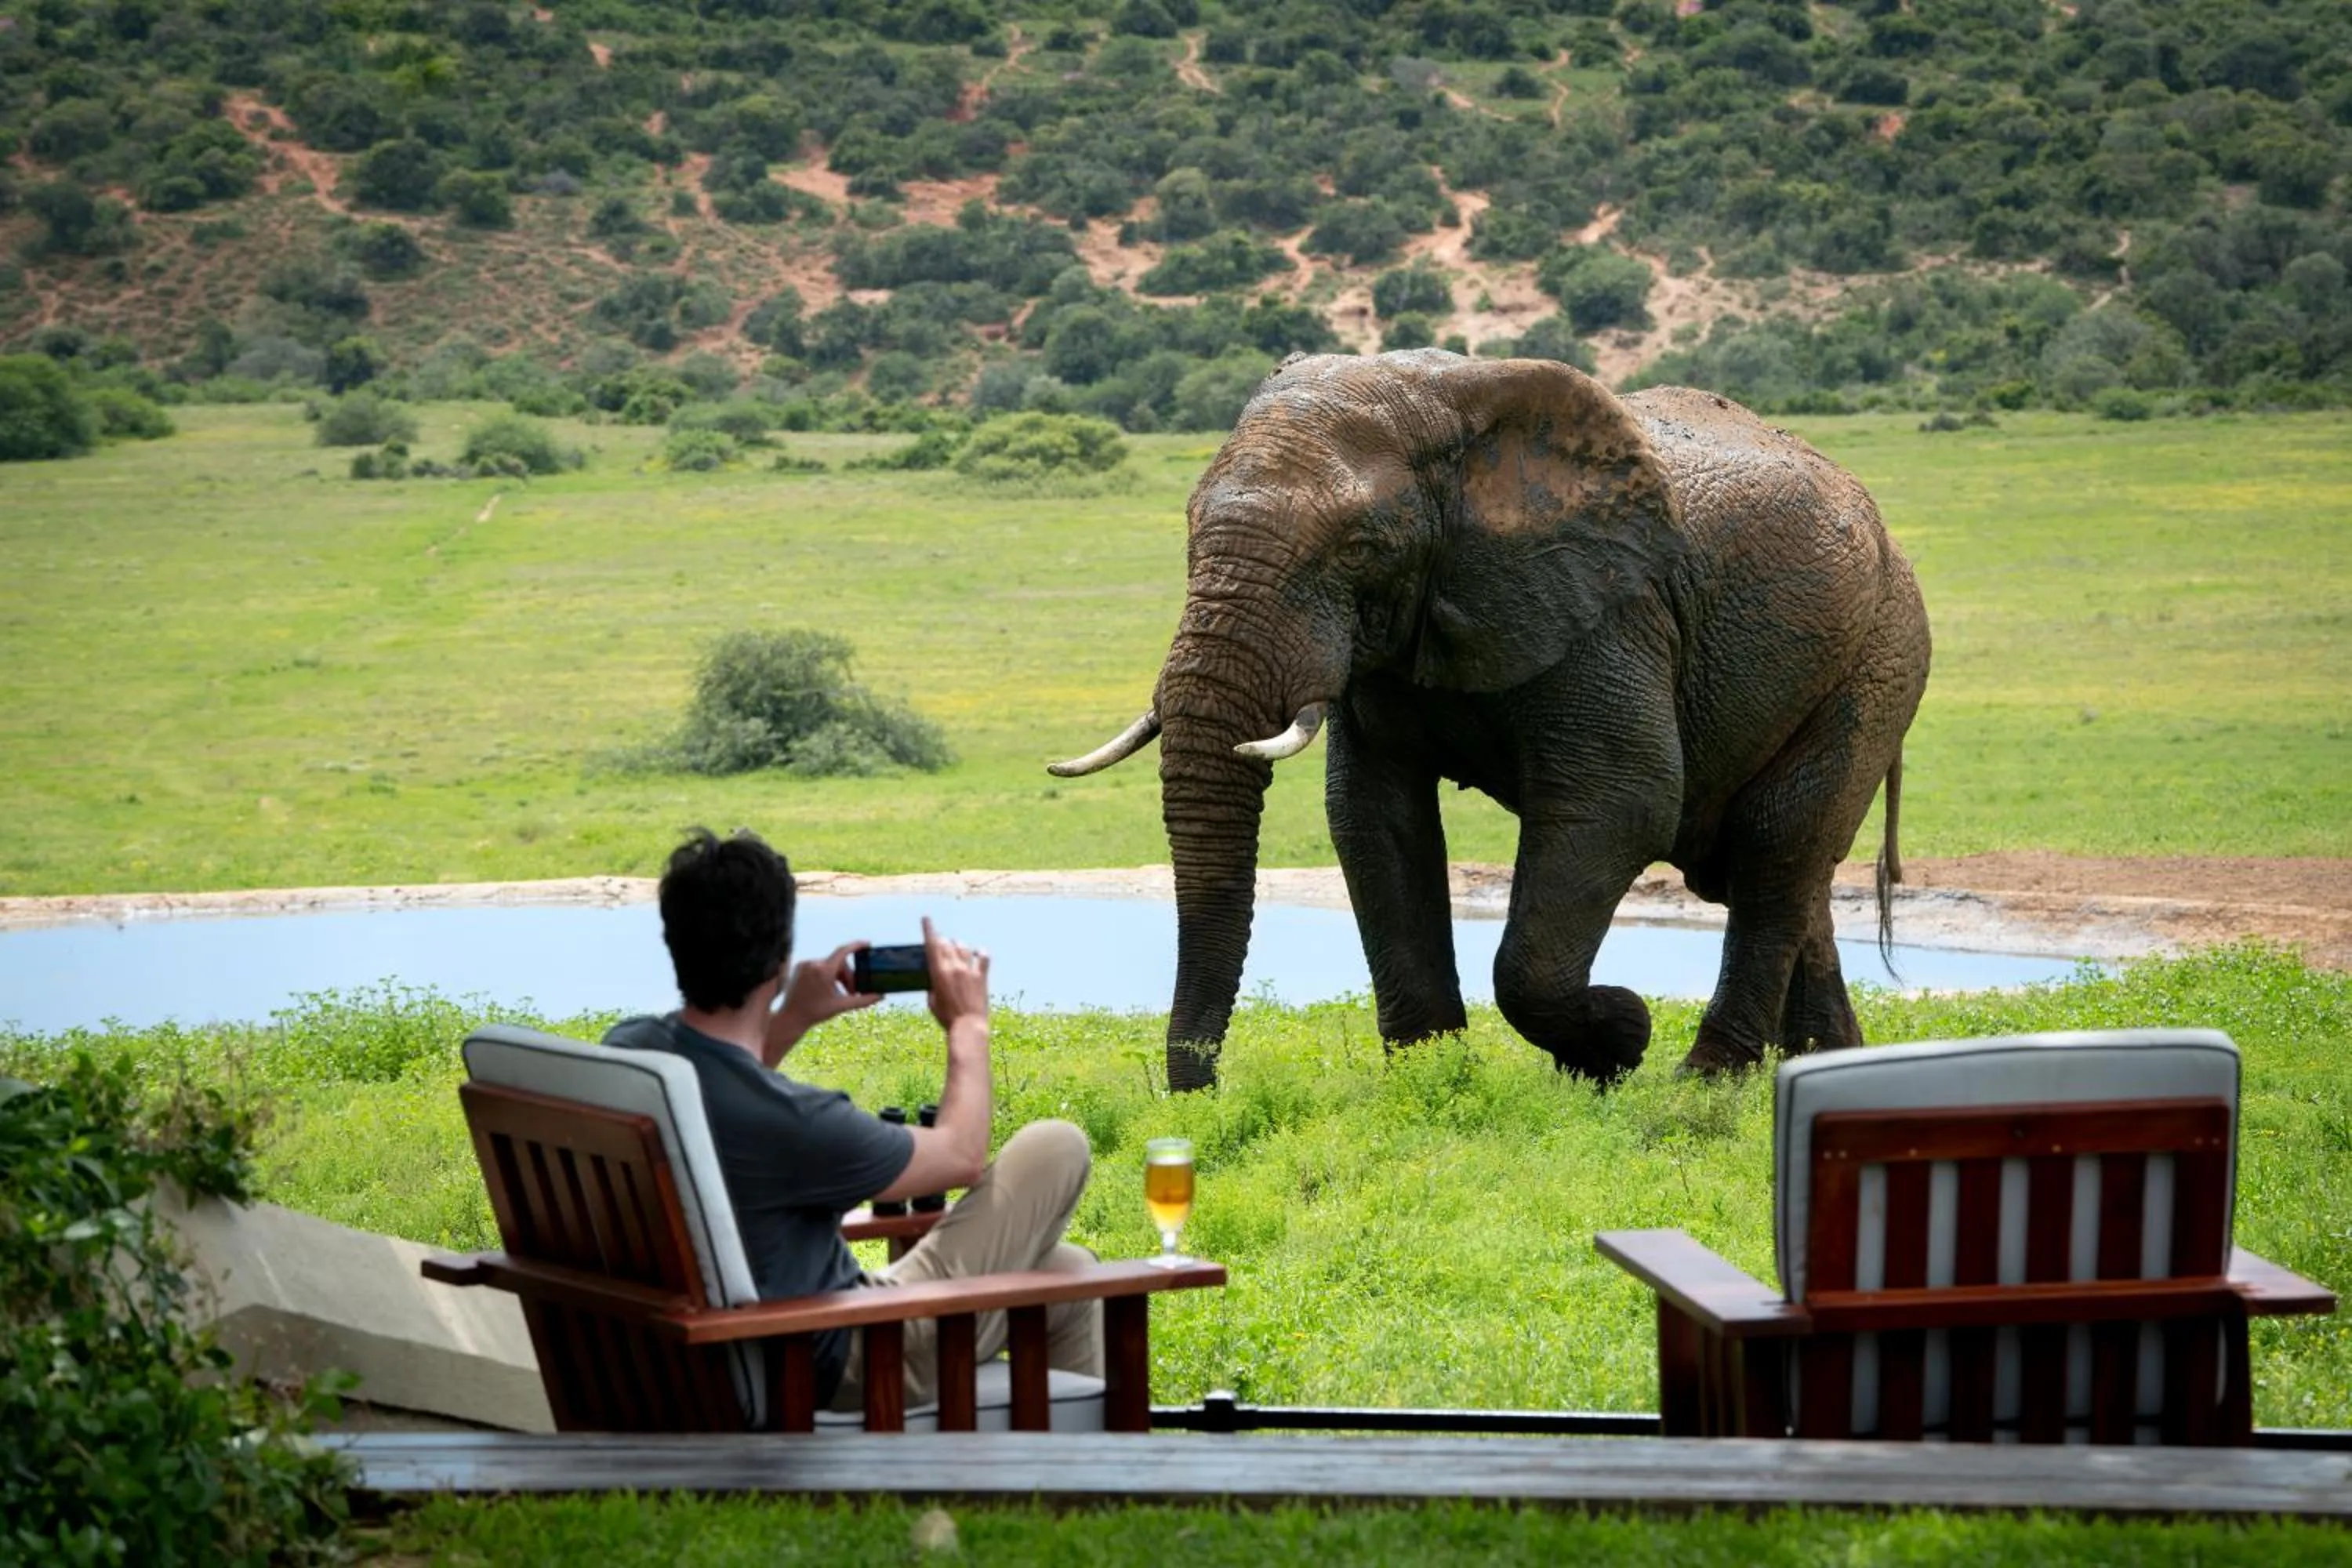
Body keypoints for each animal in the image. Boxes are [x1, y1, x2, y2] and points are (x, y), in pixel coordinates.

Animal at [1050, 350, 1930, 1091]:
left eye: (1360, 546)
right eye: (1189, 527)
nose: (1200, 1094)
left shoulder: (1609, 611)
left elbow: (1622, 805)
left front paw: (1618, 1037)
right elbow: (1374, 820)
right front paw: (1429, 1080)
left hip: (1878, 659)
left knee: (1777, 850)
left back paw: (1705, 1083)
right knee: (1775, 871)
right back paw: (1828, 1066)